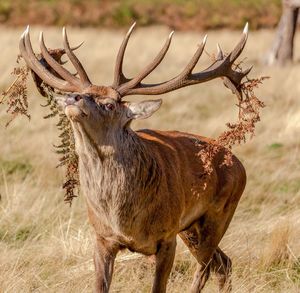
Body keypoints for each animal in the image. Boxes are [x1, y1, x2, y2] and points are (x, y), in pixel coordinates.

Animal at [19, 23, 251, 292]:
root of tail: (240, 165)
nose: (72, 98)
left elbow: (158, 287)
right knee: (223, 263)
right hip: (190, 227)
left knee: (205, 268)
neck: (124, 219)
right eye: (83, 92)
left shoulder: (167, 237)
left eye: (110, 104)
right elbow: (100, 286)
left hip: (218, 214)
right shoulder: (101, 237)